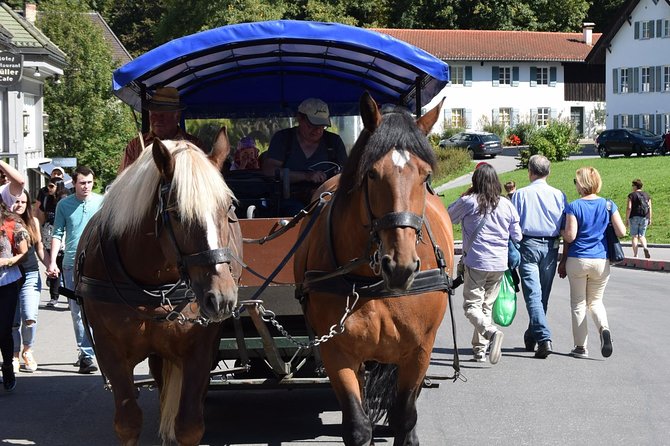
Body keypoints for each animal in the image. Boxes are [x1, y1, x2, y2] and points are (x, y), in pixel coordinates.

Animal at [77, 132, 243, 446]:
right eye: (176, 213)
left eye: (228, 207)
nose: (222, 298)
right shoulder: (110, 348)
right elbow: (128, 423)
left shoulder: (199, 348)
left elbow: (189, 426)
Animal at [296, 92, 456, 444]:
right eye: (371, 173)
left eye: (426, 176)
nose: (401, 266)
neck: (371, 280)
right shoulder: (337, 351)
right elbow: (357, 425)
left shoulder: (419, 350)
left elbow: (404, 416)